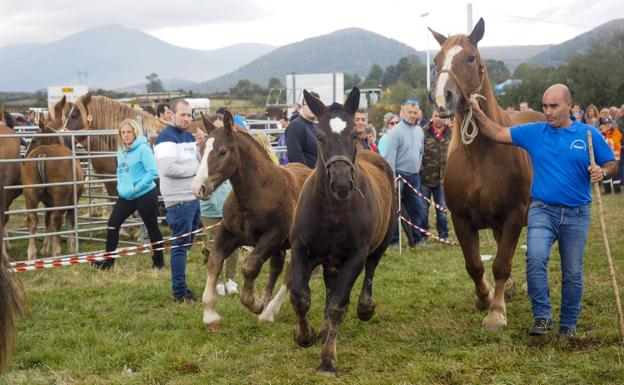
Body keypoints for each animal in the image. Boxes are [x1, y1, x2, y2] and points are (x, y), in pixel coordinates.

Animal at [21, 120, 84, 258]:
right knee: (56, 220)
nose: (23, 158)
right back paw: (57, 250)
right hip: (60, 198)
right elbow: (69, 220)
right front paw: (71, 247)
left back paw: (32, 253)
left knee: (33, 220)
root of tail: (43, 154)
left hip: (30, 196)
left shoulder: (49, 202)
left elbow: (46, 221)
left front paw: (45, 248)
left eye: (34, 140)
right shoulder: (72, 201)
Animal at [290, 88, 398, 374]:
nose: (341, 184)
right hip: (330, 261)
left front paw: (328, 360)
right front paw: (304, 335)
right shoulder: (302, 250)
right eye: (319, 136)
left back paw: (365, 307)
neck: (332, 210)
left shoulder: (354, 257)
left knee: (371, 269)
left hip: (380, 242)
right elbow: (300, 297)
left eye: (355, 135)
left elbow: (338, 305)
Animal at [428, 18, 540, 330]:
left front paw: (497, 312)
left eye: (469, 57)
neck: (481, 155)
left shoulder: (514, 215)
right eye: (436, 60)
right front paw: (485, 297)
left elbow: (501, 264)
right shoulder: (462, 219)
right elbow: (475, 265)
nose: (441, 98)